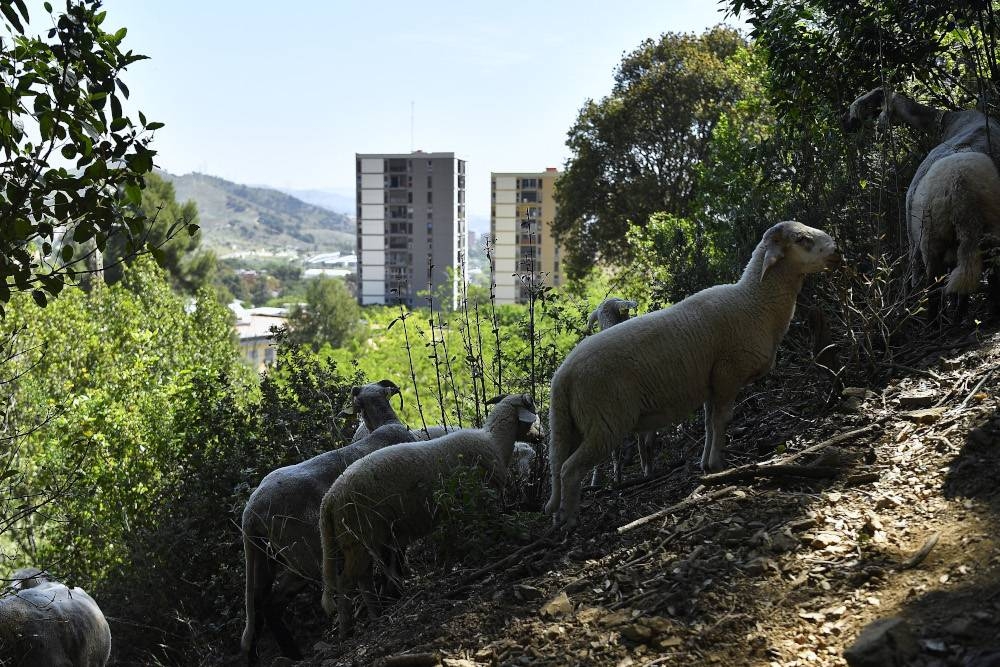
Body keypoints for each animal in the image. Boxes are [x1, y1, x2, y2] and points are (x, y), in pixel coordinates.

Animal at [238, 378, 414, 664]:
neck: (384, 424)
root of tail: (250, 513)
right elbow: (395, 557)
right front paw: (395, 592)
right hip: (307, 552)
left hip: (270, 556)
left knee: (263, 603)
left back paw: (288, 655)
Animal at [320, 394, 540, 640]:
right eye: (532, 410)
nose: (541, 437)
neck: (495, 441)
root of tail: (329, 499)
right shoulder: (482, 501)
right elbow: (484, 532)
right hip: (359, 536)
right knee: (348, 581)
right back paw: (351, 626)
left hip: (360, 539)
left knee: (359, 578)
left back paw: (372, 614)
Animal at [544, 222, 840, 528]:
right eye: (801, 239)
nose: (837, 252)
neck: (755, 303)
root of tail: (562, 377)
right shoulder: (728, 374)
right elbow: (722, 420)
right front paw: (718, 465)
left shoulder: (713, 382)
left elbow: (709, 423)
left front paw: (706, 464)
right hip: (606, 420)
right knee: (570, 469)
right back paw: (570, 520)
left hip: (568, 424)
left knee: (557, 465)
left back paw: (558, 517)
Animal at [844, 87, 1000, 314]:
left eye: (865, 104)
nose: (846, 124)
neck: (946, 121)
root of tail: (961, 189)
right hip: (981, 237)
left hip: (931, 241)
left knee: (934, 291)